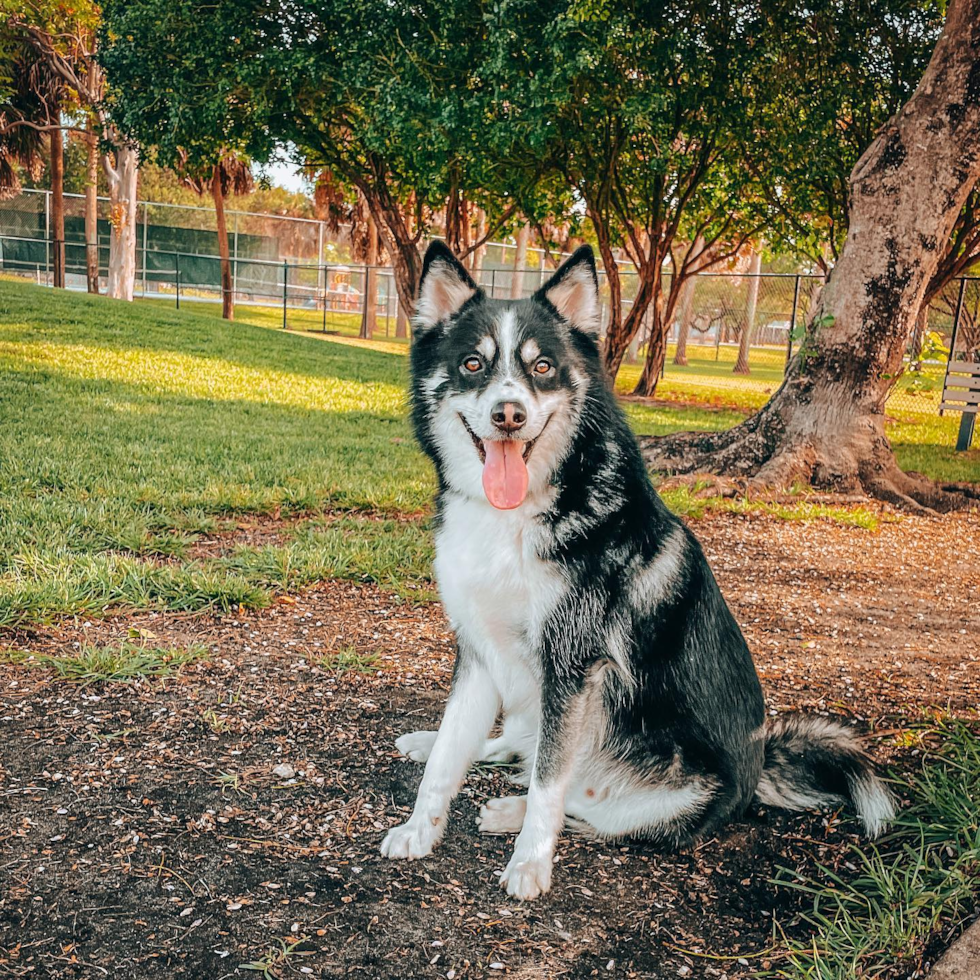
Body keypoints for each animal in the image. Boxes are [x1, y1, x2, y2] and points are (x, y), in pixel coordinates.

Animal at [378, 241, 896, 900]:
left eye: (542, 367)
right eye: (473, 364)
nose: (509, 414)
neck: (522, 511)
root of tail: (757, 775)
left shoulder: (572, 666)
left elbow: (549, 785)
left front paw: (529, 864)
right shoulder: (478, 650)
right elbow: (450, 756)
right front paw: (419, 827)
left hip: (673, 791)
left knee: (581, 805)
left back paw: (510, 813)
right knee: (516, 748)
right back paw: (442, 750)